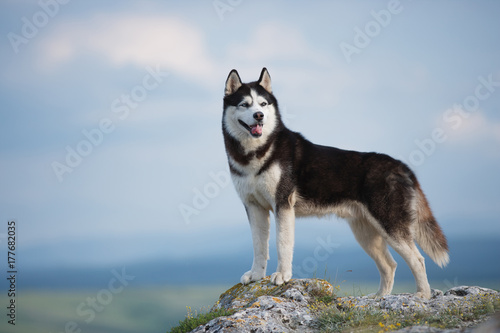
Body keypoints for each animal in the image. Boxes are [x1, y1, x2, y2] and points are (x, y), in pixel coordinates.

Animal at [223, 67, 450, 298]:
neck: (257, 152)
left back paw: (422, 295)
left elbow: (282, 243)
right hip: (366, 232)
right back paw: (380, 297)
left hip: (390, 225)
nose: (258, 116)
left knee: (418, 259)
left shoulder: (283, 204)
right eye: (244, 104)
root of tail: (402, 165)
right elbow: (259, 246)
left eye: (263, 104)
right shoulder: (254, 207)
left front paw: (282, 275)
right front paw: (256, 275)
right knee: (390, 265)